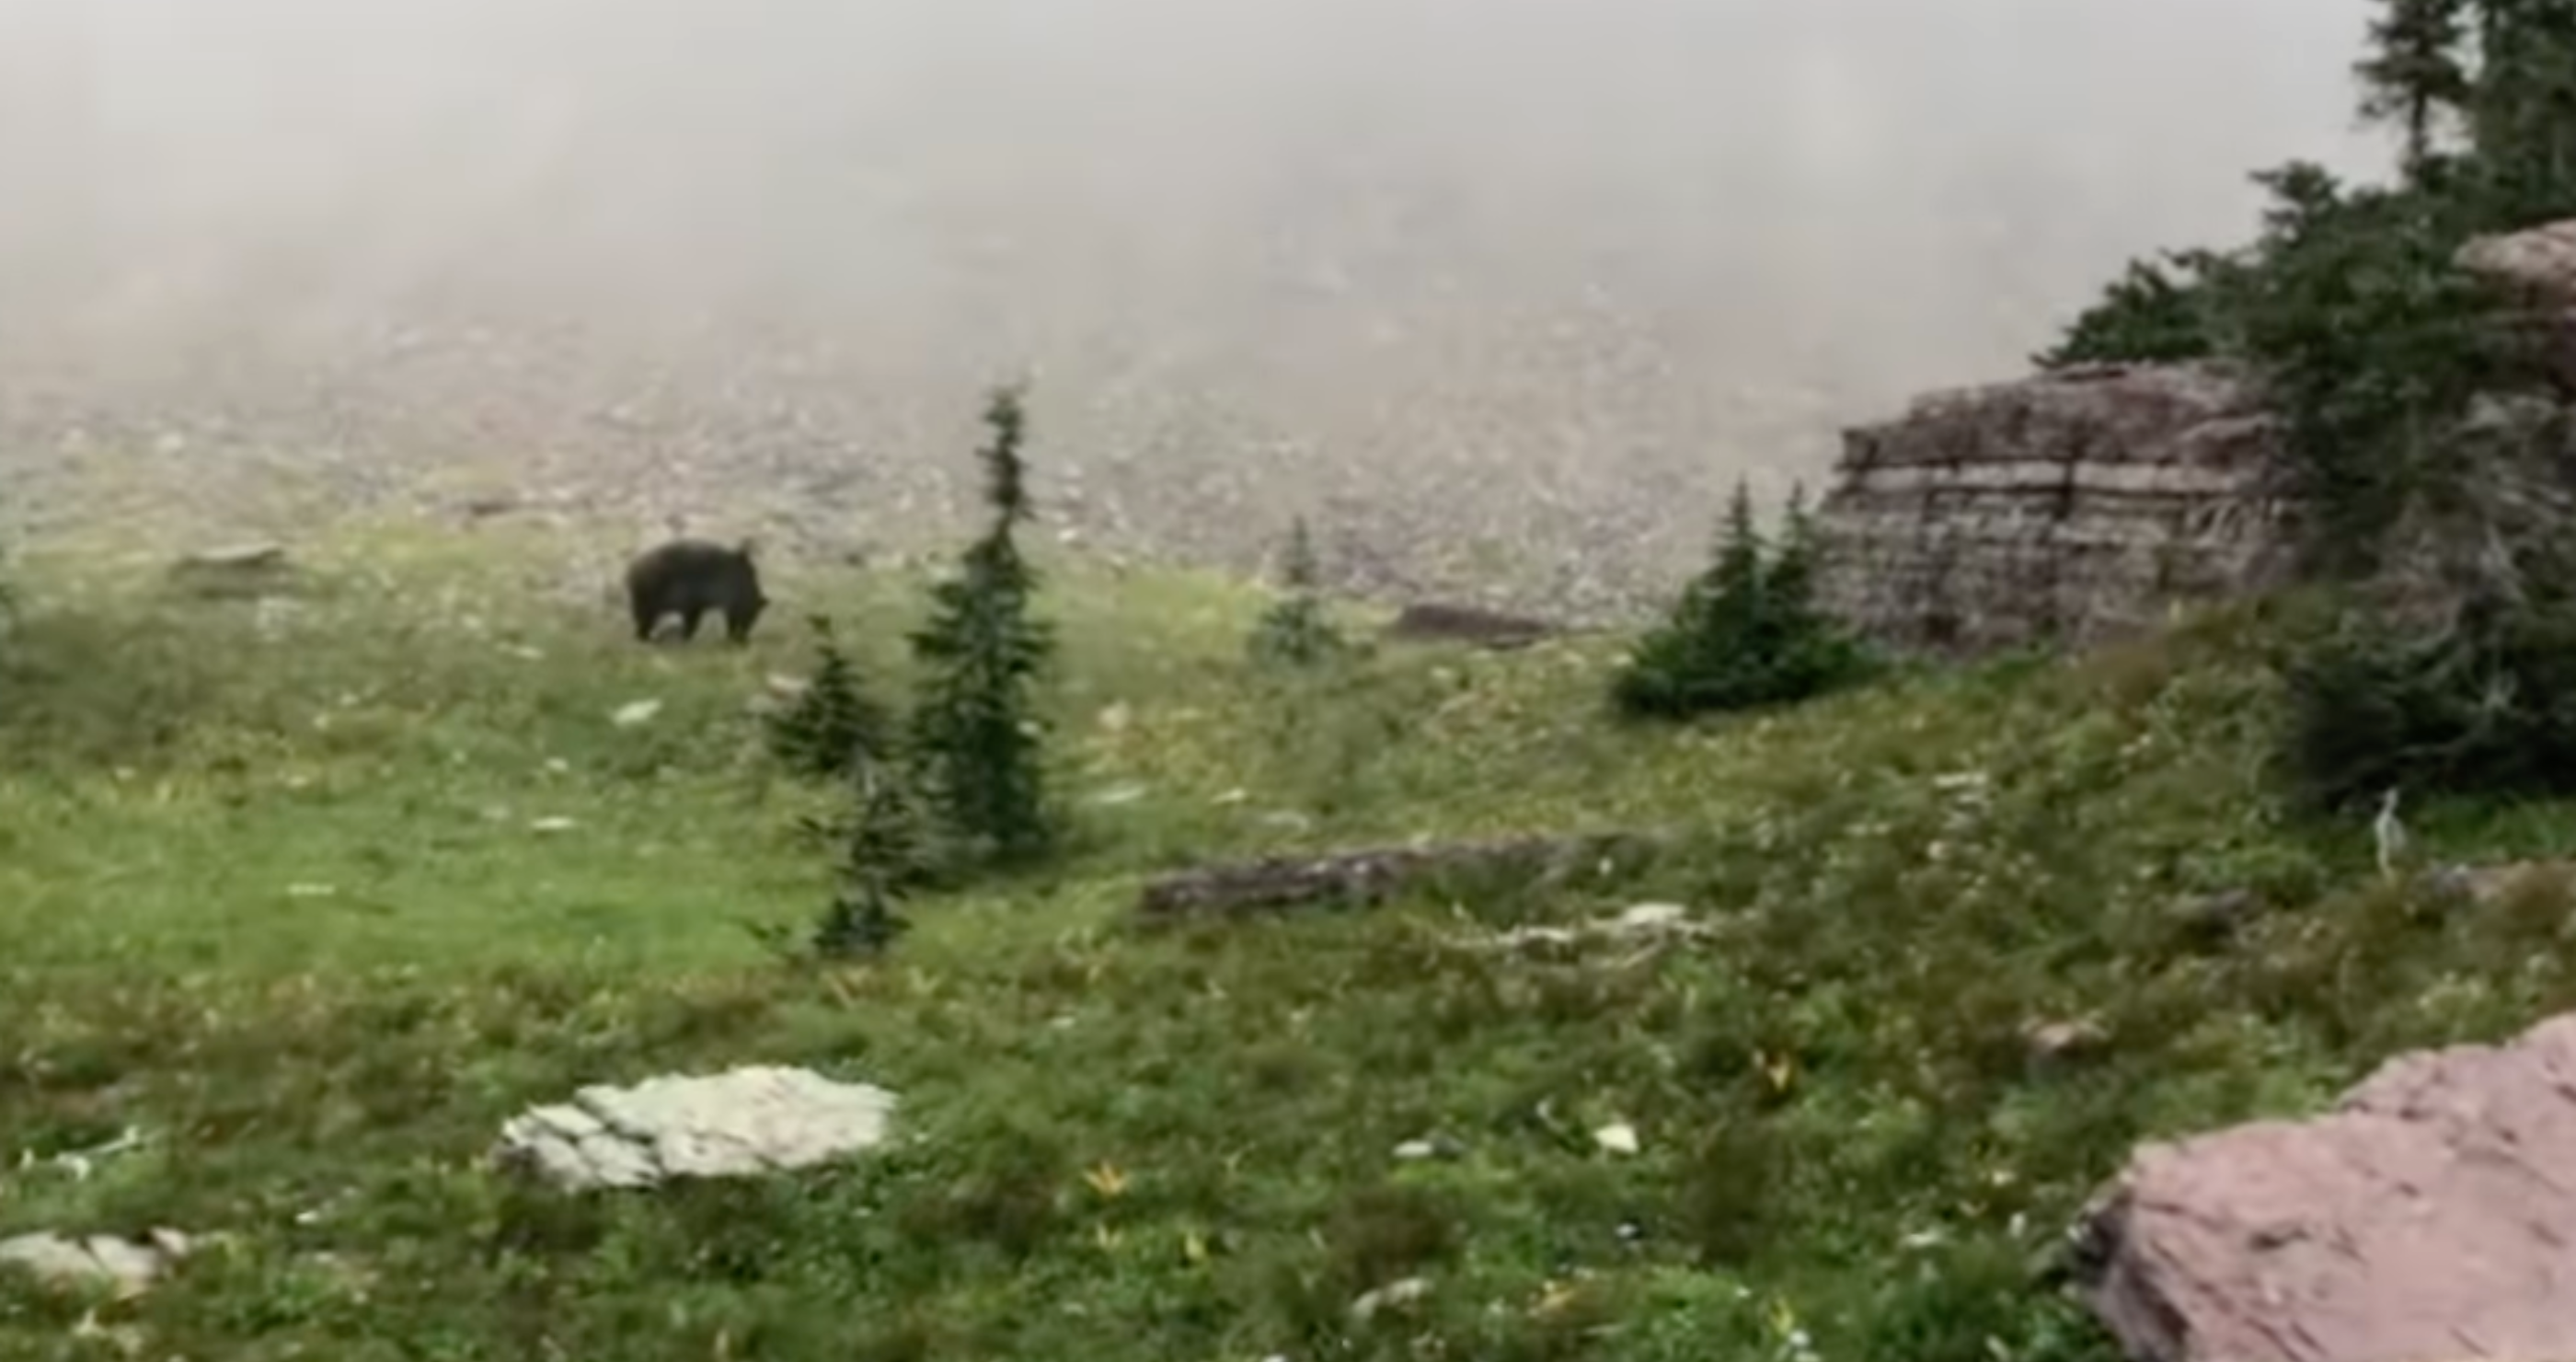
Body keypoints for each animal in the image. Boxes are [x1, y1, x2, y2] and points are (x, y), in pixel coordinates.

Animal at [620, 535, 762, 643]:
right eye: (751, 614)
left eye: (754, 616)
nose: (743, 639)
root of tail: (631, 570)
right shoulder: (695, 604)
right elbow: (692, 623)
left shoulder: (699, 605)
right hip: (647, 602)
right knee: (643, 623)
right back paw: (648, 638)